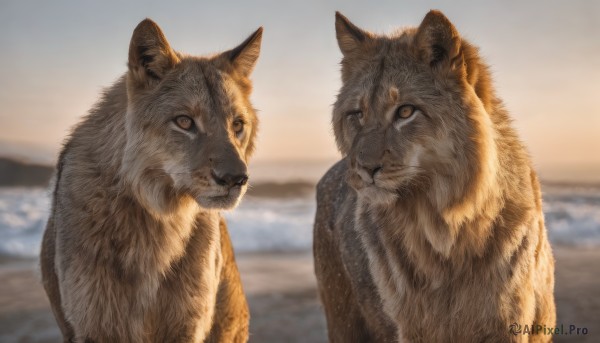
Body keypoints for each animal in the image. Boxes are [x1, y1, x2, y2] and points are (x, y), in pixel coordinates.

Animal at [39, 19, 260, 343]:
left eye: (237, 125)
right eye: (184, 122)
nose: (236, 178)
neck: (158, 220)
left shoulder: (186, 325)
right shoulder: (95, 324)